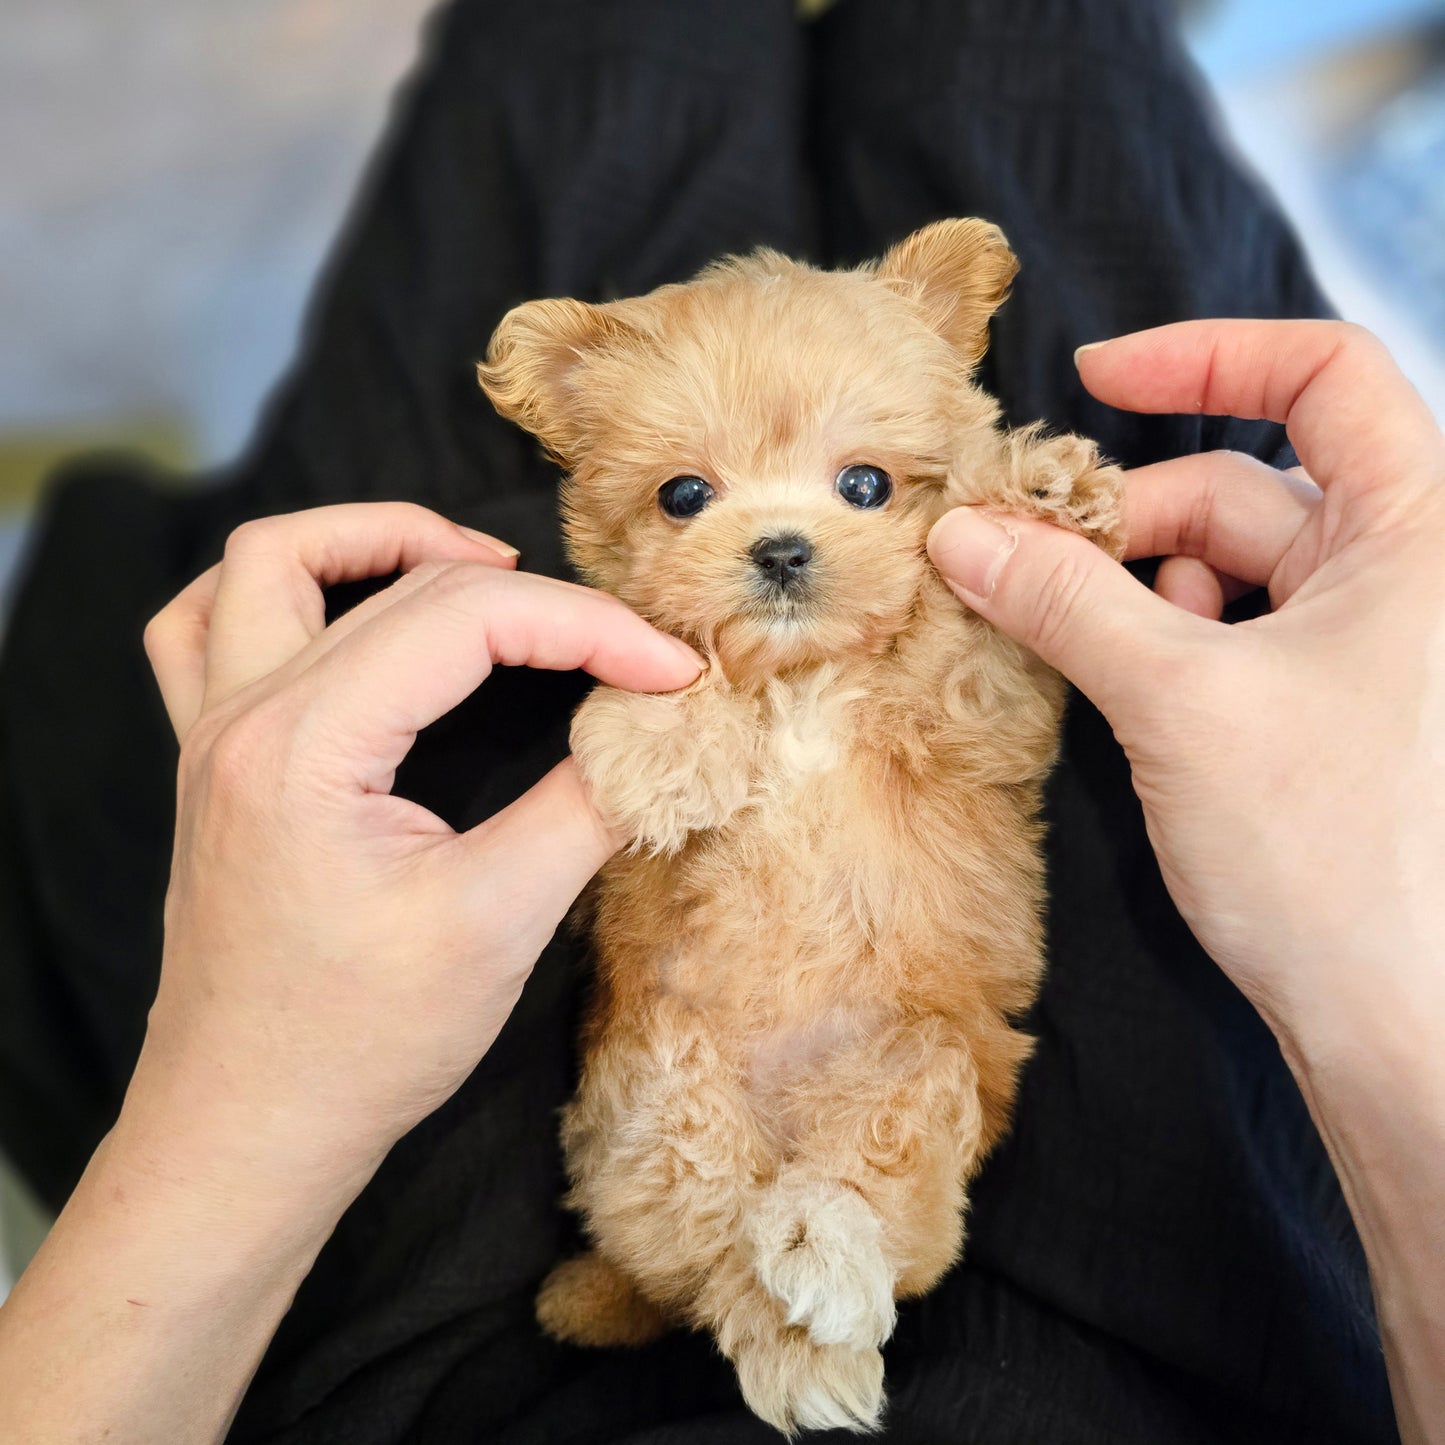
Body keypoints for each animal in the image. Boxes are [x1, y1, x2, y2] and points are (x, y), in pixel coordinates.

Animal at [479, 219, 1121, 1427]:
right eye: (685, 494)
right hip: (656, 1084)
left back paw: (816, 1273)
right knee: (703, 1241)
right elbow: (673, 661)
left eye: (864, 484)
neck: (803, 681)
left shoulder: (979, 714)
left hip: (914, 1068)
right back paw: (751, 1301)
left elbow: (973, 631)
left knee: (847, 1194)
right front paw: (660, 741)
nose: (779, 547)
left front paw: (1040, 491)